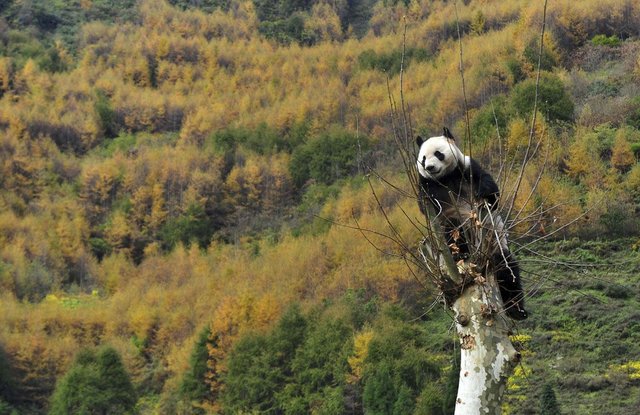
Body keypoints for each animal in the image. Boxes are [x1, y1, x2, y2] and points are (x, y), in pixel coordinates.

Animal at [418, 127, 528, 322]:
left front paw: (484, 193)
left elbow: (491, 191)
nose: (430, 167)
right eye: (423, 159)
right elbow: (426, 206)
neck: (445, 177)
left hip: (494, 245)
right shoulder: (426, 184)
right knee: (453, 229)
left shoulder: (467, 167)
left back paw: (517, 310)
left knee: (508, 271)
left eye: (438, 154)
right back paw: (460, 252)